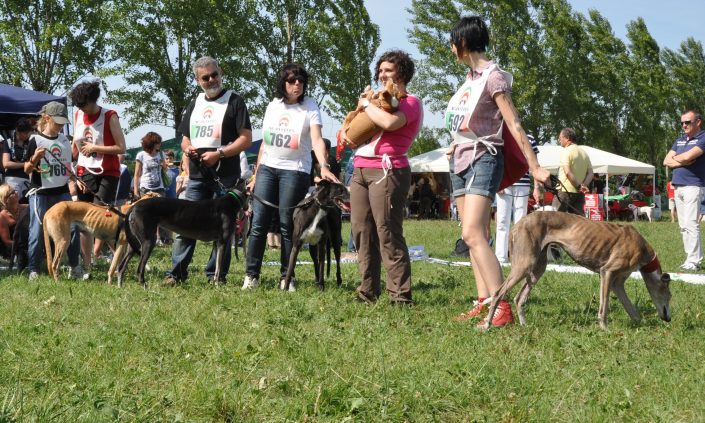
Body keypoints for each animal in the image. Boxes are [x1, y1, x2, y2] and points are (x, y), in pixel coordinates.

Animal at [118, 182, 248, 286]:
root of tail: (134, 206)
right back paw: (145, 287)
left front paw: (215, 283)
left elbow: (216, 266)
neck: (232, 199)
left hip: (134, 243)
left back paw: (120, 286)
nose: (247, 210)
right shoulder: (223, 242)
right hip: (148, 241)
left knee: (121, 267)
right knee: (140, 269)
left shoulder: (217, 242)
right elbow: (219, 267)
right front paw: (217, 286)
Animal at [483, 211, 671, 330]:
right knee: (498, 293)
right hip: (524, 264)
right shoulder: (607, 272)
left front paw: (641, 325)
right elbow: (604, 306)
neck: (642, 248)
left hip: (537, 268)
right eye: (669, 296)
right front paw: (605, 328)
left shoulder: (618, 283)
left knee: (519, 298)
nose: (668, 318)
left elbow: (632, 310)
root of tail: (518, 224)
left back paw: (524, 325)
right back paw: (487, 325)